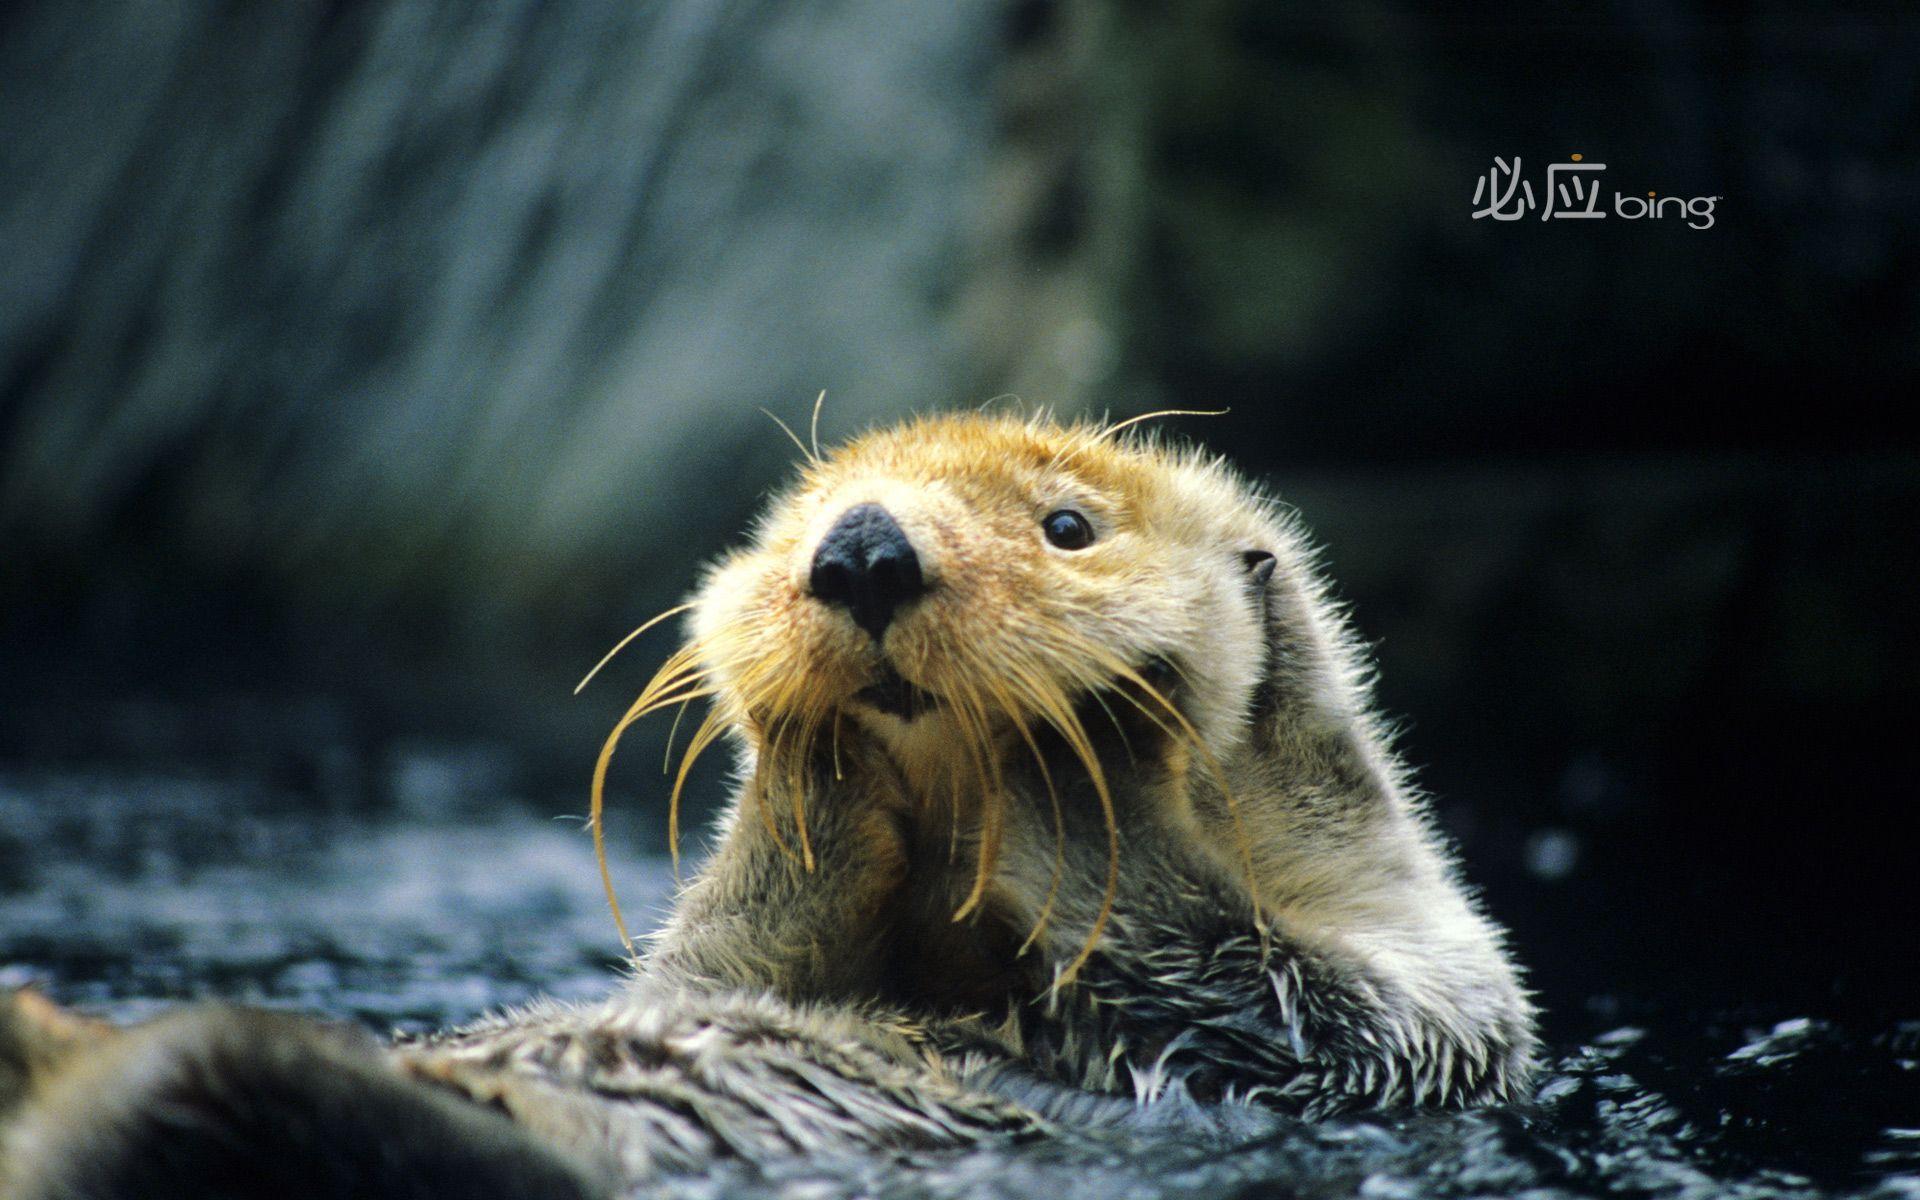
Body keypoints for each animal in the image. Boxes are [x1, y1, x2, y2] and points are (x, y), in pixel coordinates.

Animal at [1, 412, 1535, 1198]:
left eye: (1069, 528)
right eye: (801, 519)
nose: (859, 551)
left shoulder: (1415, 997)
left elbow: (1260, 981)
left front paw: (1086, 740)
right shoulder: (722, 963)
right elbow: (726, 952)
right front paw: (806, 760)